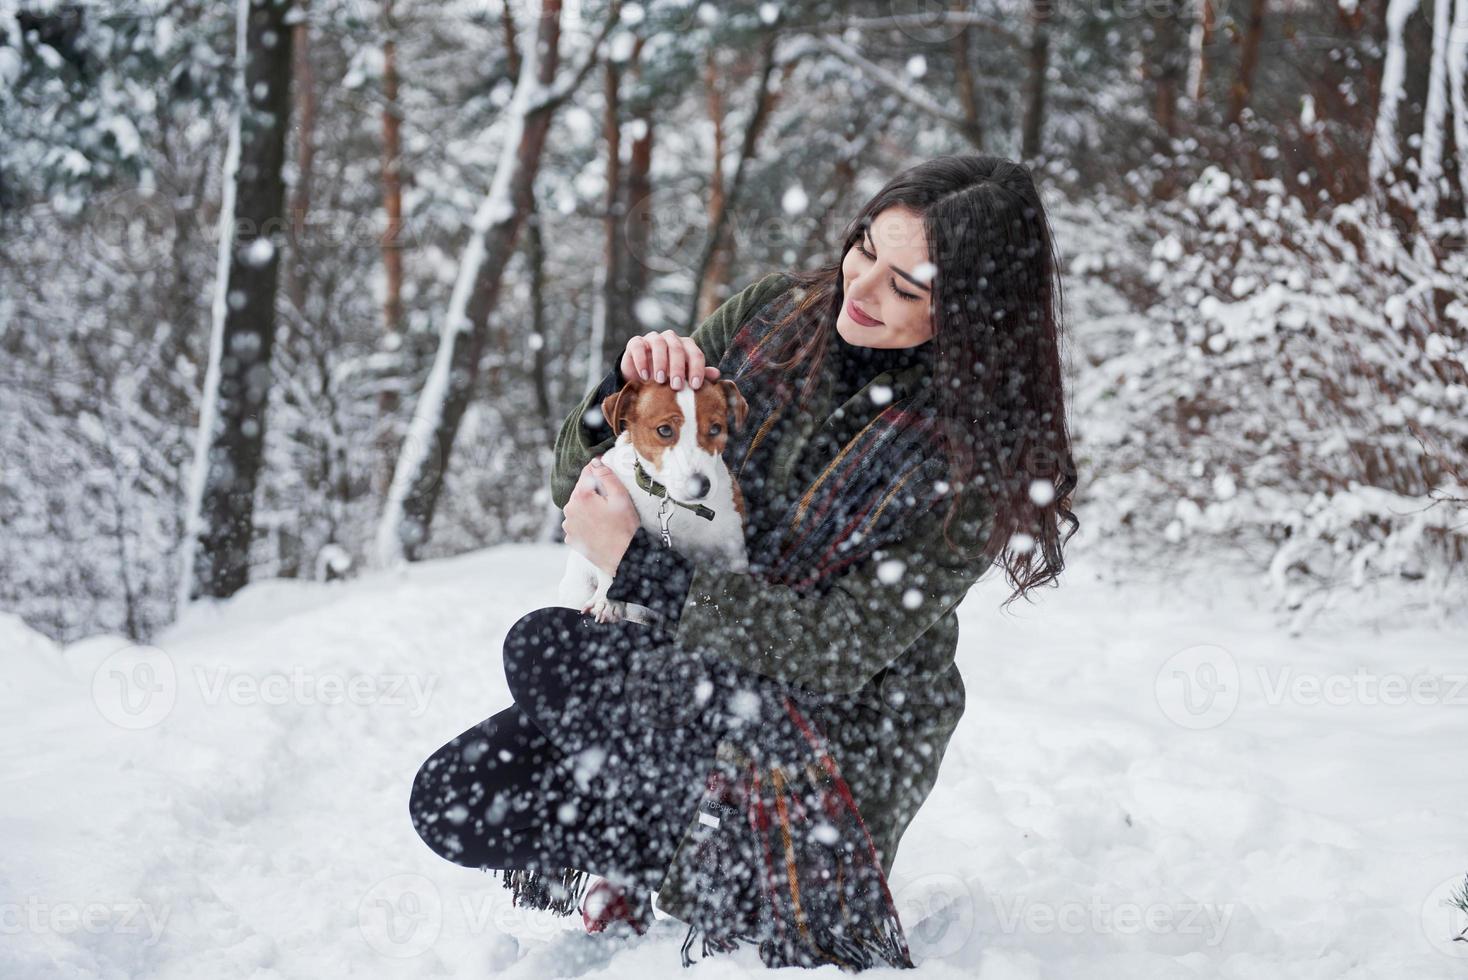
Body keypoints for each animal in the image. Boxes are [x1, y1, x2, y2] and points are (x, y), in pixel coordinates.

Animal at [557, 371, 751, 624]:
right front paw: (608, 601)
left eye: (716, 429)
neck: (670, 500)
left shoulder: (733, 549)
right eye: (665, 430)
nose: (701, 486)